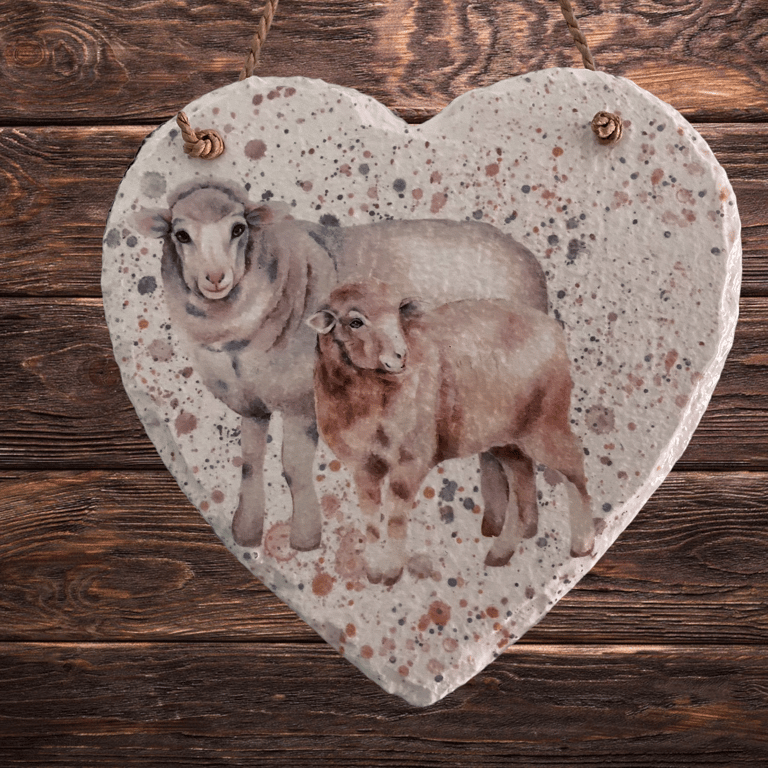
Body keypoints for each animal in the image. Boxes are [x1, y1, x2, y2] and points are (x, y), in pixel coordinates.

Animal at [133, 180, 549, 553]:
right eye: (181, 234)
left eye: (238, 228)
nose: (215, 279)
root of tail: (526, 257)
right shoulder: (252, 405)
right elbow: (250, 463)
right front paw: (246, 531)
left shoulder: (301, 403)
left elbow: (293, 467)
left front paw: (305, 538)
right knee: (493, 452)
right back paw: (494, 525)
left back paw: (519, 530)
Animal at [308, 280, 594, 585]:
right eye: (355, 322)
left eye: (397, 314)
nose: (400, 356)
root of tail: (553, 328)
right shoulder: (363, 466)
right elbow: (372, 519)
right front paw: (373, 570)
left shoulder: (411, 460)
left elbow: (395, 518)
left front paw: (392, 571)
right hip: (507, 438)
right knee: (523, 481)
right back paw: (502, 552)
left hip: (544, 424)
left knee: (573, 461)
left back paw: (583, 544)